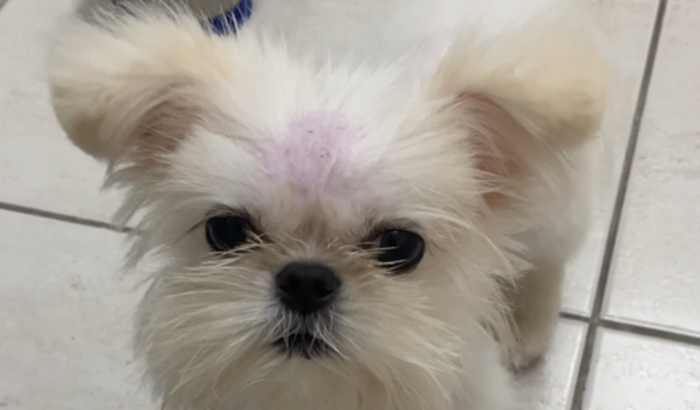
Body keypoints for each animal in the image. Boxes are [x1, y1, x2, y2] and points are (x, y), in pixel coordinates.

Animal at [48, 0, 607, 409]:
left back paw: (527, 329)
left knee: (547, 257)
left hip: (560, 202)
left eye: (400, 246)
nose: (305, 279)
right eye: (225, 231)